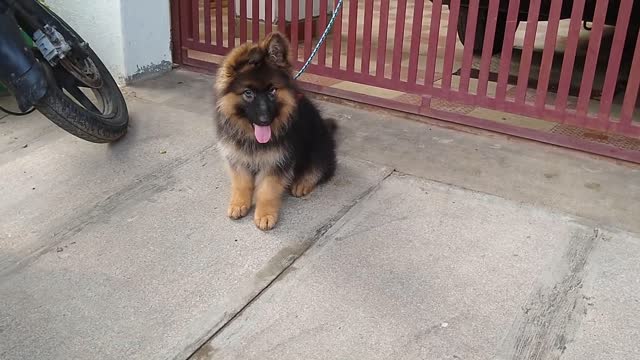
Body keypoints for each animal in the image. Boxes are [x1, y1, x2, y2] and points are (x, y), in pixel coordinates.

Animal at [215, 33, 338, 231]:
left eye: (272, 90)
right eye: (248, 93)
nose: (265, 120)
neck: (253, 138)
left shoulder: (277, 161)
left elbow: (267, 190)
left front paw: (265, 215)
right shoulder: (238, 157)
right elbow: (241, 183)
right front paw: (239, 203)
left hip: (318, 145)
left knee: (321, 168)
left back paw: (302, 183)